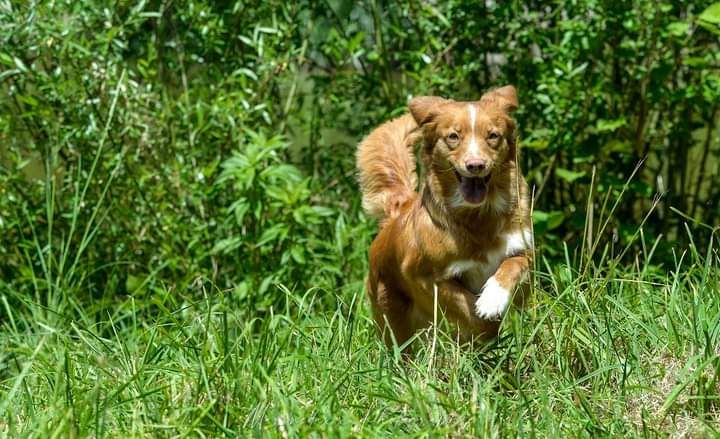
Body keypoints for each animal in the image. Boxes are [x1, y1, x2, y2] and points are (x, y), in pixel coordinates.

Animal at [356, 85, 532, 348]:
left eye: (493, 135)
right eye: (453, 137)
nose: (475, 165)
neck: (478, 215)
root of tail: (399, 210)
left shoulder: (524, 249)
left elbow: (513, 264)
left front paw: (492, 299)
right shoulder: (423, 277)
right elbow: (471, 311)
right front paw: (484, 328)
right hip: (392, 319)